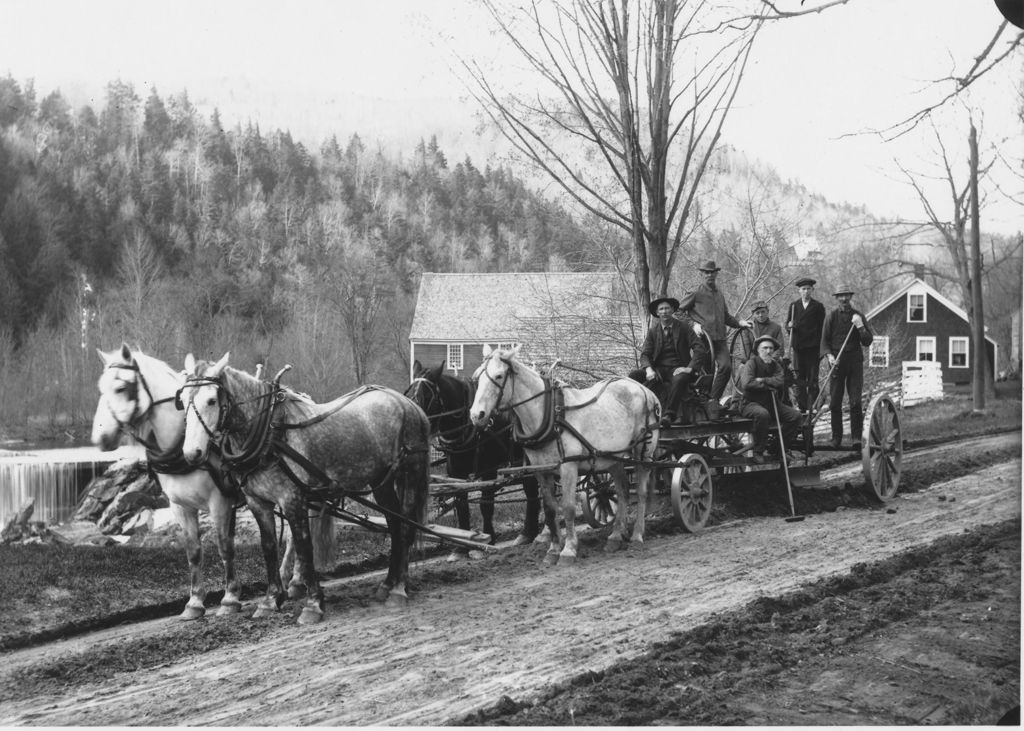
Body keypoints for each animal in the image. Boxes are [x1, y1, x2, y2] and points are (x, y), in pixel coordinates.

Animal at [91, 341, 331, 614]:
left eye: (120, 388)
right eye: (100, 388)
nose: (100, 439)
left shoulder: (220, 501)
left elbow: (224, 546)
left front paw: (230, 597)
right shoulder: (180, 507)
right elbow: (193, 551)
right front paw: (195, 602)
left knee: (296, 534)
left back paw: (297, 581)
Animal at [468, 344, 659, 565]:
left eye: (499, 376)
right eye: (477, 377)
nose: (476, 415)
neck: (550, 413)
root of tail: (644, 389)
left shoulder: (568, 466)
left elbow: (567, 507)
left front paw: (569, 549)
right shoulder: (541, 470)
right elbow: (550, 509)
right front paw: (553, 549)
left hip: (643, 453)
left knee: (642, 491)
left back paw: (637, 534)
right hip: (613, 458)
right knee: (623, 491)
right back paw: (615, 536)